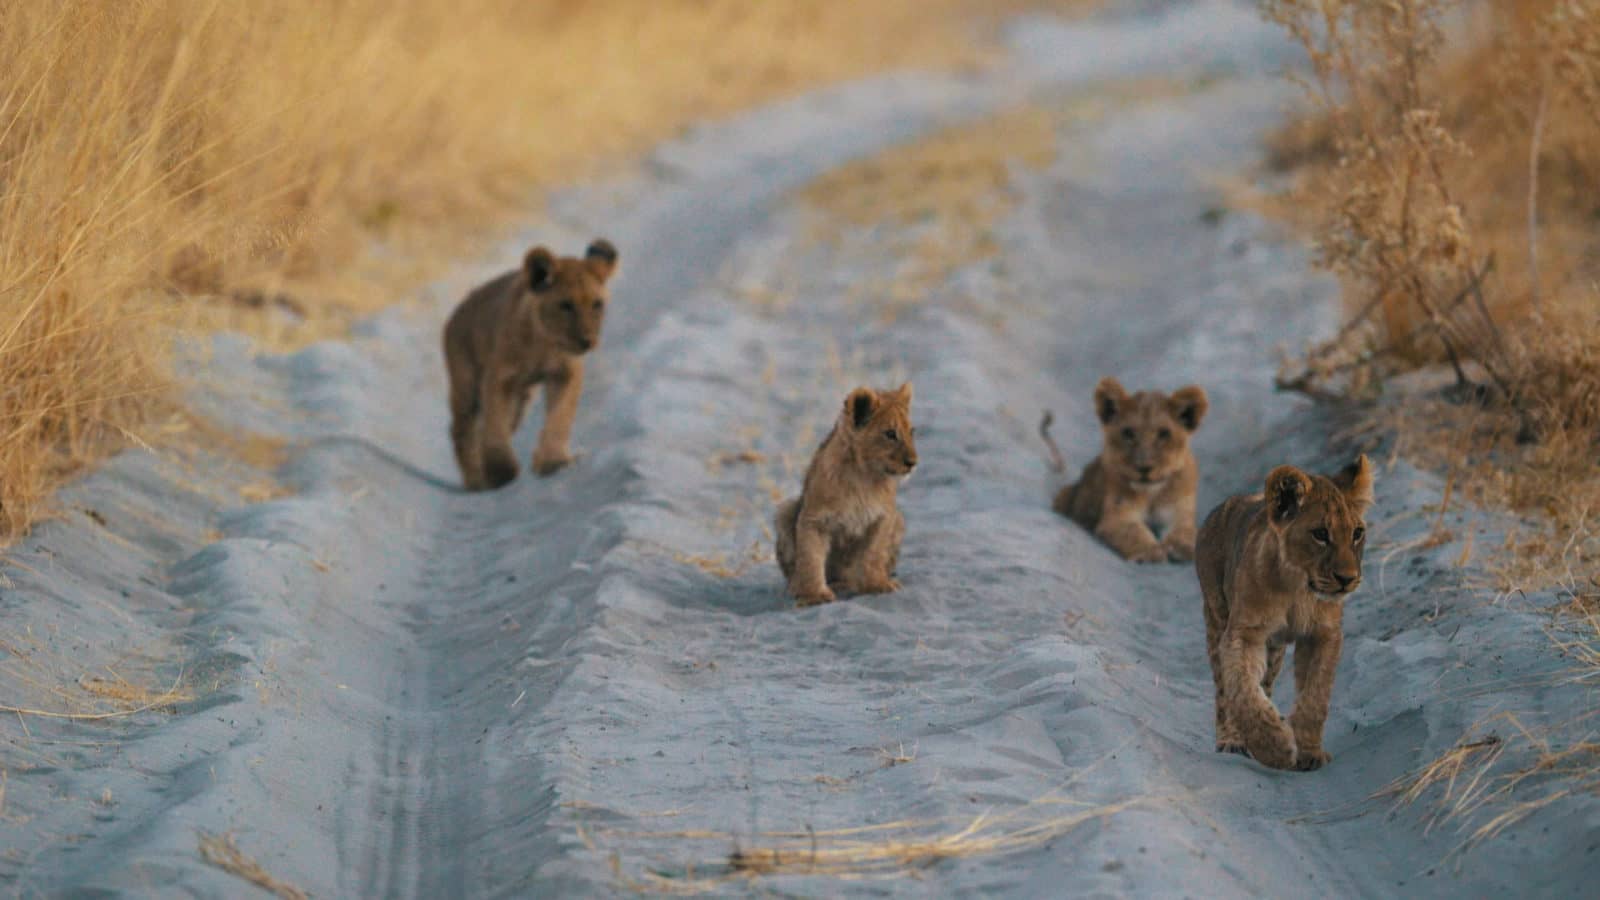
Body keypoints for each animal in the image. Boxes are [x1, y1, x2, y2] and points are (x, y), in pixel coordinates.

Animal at [441, 239, 618, 490]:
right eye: (566, 305)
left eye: (597, 304)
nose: (587, 340)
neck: (544, 344)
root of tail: (458, 312)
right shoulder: (499, 378)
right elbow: (495, 424)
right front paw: (501, 472)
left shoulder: (565, 374)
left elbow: (560, 417)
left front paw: (553, 461)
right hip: (466, 385)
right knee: (462, 430)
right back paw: (476, 482)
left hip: (521, 398)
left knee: (493, 426)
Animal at [774, 383, 917, 607]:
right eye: (890, 434)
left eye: (912, 432)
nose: (913, 462)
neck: (863, 476)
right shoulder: (813, 520)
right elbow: (810, 557)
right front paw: (814, 595)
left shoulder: (883, 517)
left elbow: (874, 553)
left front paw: (877, 584)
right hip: (785, 511)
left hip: (899, 521)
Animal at [1041, 377, 1209, 563]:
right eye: (1128, 433)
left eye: (1164, 433)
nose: (1144, 468)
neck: (1151, 493)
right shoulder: (1117, 518)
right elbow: (1133, 532)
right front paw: (1150, 551)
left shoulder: (1180, 513)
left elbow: (1186, 531)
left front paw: (1182, 547)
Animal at [1195, 454, 1375, 771]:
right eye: (1320, 534)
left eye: (1357, 533)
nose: (1347, 578)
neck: (1298, 590)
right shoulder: (1244, 633)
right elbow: (1242, 689)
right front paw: (1274, 746)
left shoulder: (1324, 635)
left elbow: (1315, 695)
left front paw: (1309, 752)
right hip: (1216, 617)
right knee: (1224, 690)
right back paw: (1232, 740)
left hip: (1274, 649)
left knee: (1266, 683)